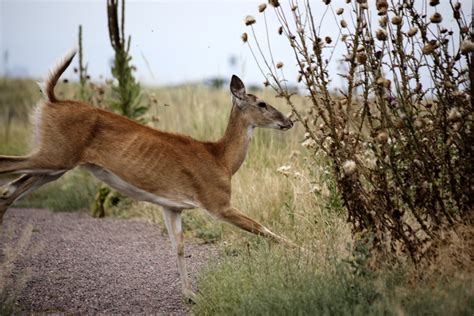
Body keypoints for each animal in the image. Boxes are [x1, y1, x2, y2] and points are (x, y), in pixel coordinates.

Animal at [0, 48, 294, 298]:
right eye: (263, 103)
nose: (289, 121)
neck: (220, 159)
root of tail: (51, 99)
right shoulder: (217, 203)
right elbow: (263, 228)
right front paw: (301, 252)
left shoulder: (172, 206)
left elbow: (179, 246)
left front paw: (190, 294)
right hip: (54, 155)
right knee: (6, 171)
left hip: (54, 166)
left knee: (8, 191)